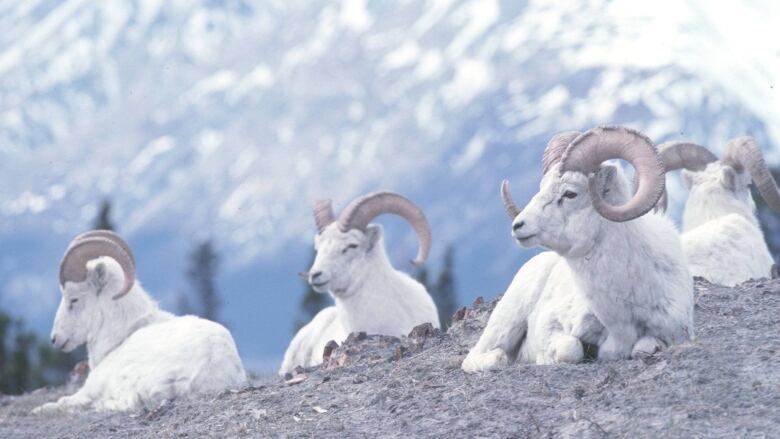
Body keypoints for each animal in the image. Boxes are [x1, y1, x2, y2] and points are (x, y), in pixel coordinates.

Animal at [32, 232, 247, 414]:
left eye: (74, 299)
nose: (55, 339)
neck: (120, 339)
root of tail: (209, 366)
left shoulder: (90, 388)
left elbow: (60, 402)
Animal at [460, 125, 692, 372]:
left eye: (570, 193)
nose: (518, 226)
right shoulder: (552, 326)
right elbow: (571, 349)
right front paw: (544, 358)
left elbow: (644, 348)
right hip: (507, 321)